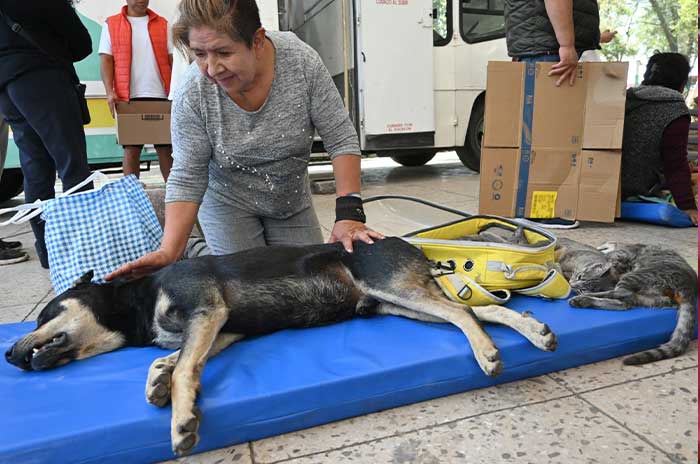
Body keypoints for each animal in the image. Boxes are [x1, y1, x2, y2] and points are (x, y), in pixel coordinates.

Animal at [2, 237, 556, 454]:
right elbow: (176, 359)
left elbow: (184, 368)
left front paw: (180, 421)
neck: (136, 304)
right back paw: (534, 331)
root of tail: (409, 243)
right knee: (480, 311)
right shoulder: (222, 328)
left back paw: (488, 353)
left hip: (394, 289)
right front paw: (157, 380)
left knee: (463, 313)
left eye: (47, 313)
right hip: (395, 302)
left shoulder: (207, 310)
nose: (8, 354)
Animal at [556, 239, 696, 366]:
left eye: (580, 279)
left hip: (636, 276)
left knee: (621, 294)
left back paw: (584, 298)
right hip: (651, 298)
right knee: (625, 303)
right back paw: (584, 300)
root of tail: (689, 284)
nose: (572, 284)